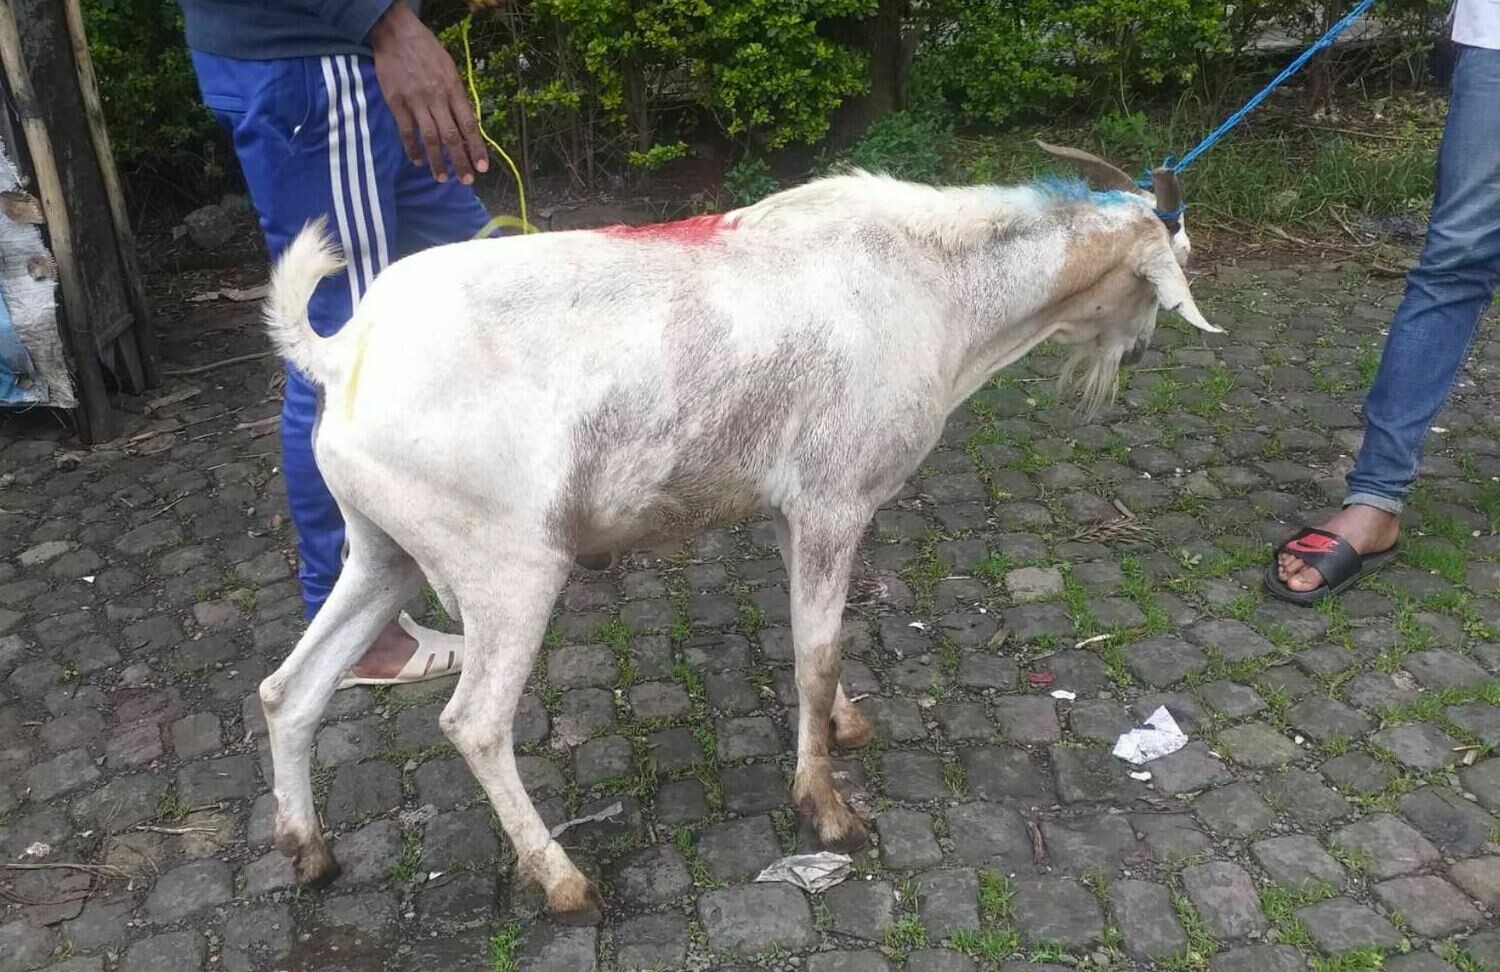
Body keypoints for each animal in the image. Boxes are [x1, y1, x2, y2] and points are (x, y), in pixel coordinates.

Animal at [257, 147, 1220, 925]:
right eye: (1168, 270)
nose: (1138, 355)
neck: (932, 284)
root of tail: (344, 356)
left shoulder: (796, 511)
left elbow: (813, 643)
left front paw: (844, 725)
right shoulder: (835, 500)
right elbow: (817, 654)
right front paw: (826, 808)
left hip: (384, 550)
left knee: (288, 689)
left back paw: (309, 851)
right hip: (507, 565)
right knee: (475, 724)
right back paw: (561, 880)